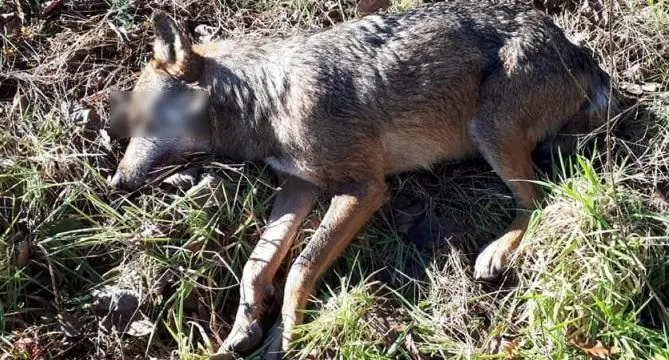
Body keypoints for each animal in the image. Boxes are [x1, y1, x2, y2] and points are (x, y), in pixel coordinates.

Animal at [108, 1, 612, 358]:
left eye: (142, 122)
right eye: (129, 124)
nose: (116, 182)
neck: (265, 99)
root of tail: (575, 48)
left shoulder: (363, 189)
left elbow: (299, 268)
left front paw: (284, 338)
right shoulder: (299, 186)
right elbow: (256, 264)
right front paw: (243, 330)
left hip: (490, 134)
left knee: (539, 199)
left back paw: (496, 252)